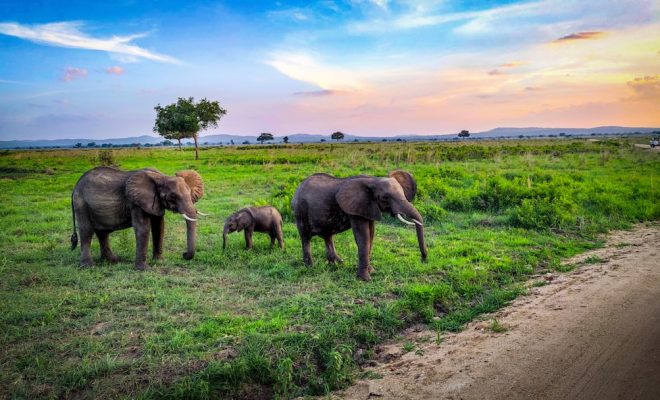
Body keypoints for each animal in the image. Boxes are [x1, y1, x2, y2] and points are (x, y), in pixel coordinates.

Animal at [70, 166, 205, 270]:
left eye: (190, 192)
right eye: (172, 197)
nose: (183, 254)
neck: (162, 177)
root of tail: (75, 187)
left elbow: (159, 227)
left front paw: (159, 261)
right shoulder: (135, 203)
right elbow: (143, 229)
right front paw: (144, 269)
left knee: (102, 232)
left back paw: (112, 260)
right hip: (81, 203)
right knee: (86, 231)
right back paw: (89, 266)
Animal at [291, 170, 427, 281]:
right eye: (386, 197)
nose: (423, 260)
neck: (373, 179)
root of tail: (298, 187)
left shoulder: (368, 207)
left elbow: (371, 235)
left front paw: (372, 272)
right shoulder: (356, 207)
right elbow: (363, 237)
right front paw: (365, 279)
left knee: (327, 236)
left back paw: (338, 263)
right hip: (300, 211)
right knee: (305, 237)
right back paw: (310, 266)